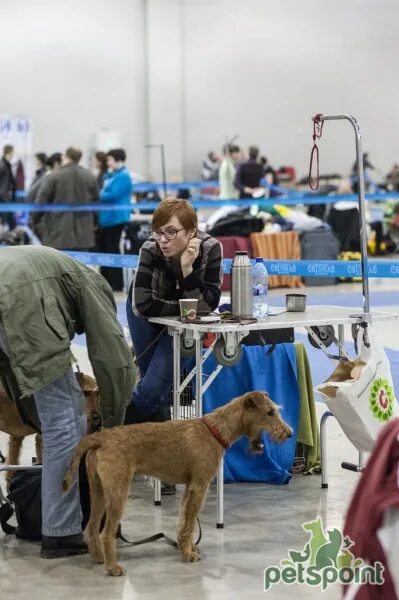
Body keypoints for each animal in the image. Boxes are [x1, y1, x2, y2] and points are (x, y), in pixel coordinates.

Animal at [64, 390, 292, 576]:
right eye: (269, 412)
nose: (288, 433)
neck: (217, 430)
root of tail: (99, 438)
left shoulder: (189, 488)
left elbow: (185, 521)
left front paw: (188, 547)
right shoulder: (200, 487)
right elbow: (190, 522)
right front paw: (188, 554)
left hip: (99, 493)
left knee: (91, 528)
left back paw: (98, 558)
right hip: (118, 493)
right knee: (106, 533)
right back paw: (113, 567)